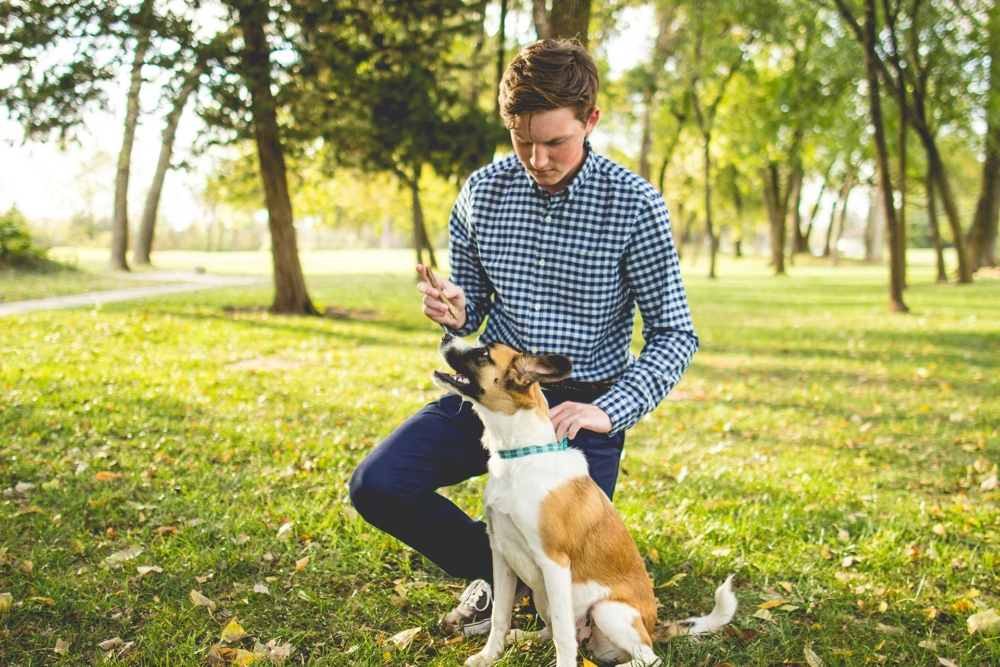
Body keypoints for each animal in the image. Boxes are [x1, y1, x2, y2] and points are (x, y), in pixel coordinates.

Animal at [434, 336, 740, 667]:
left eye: (484, 352)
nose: (445, 336)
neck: (521, 456)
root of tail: (651, 627)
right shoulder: (502, 555)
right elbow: (501, 617)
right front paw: (490, 655)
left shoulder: (554, 563)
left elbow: (563, 637)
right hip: (544, 596)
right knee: (554, 630)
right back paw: (524, 636)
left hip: (608, 611)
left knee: (647, 657)